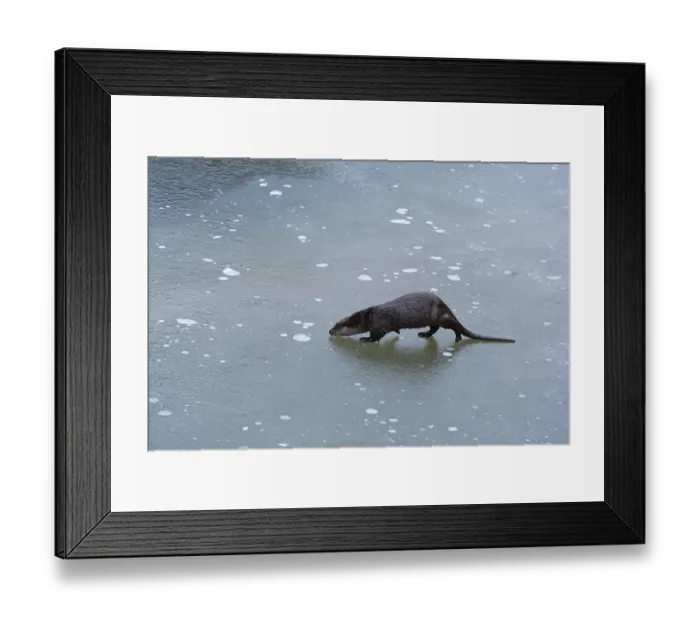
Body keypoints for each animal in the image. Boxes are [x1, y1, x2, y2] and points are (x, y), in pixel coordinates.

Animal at [329, 291, 515, 344]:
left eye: (338, 326)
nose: (330, 331)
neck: (368, 317)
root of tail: (445, 306)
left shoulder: (378, 324)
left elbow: (376, 336)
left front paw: (365, 339)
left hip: (440, 316)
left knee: (453, 327)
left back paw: (457, 338)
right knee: (435, 328)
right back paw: (424, 334)